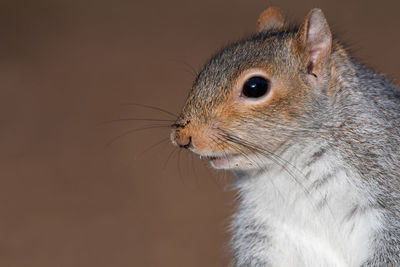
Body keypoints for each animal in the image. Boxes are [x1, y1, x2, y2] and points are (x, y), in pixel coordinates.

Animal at [170, 7, 400, 266]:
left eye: (255, 87)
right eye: (204, 72)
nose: (181, 137)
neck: (292, 168)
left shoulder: (388, 199)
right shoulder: (262, 227)